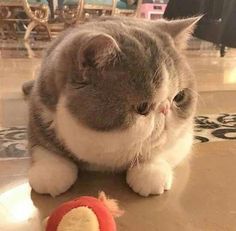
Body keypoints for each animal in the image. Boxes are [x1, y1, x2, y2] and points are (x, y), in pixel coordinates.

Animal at [25, 16, 199, 197]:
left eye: (179, 97)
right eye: (142, 107)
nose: (165, 109)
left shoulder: (185, 136)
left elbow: (164, 147)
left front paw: (150, 171)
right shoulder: (39, 115)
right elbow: (42, 148)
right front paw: (51, 172)